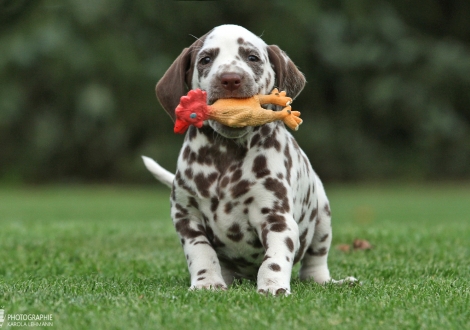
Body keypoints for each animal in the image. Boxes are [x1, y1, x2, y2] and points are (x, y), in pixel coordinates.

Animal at [143, 24, 356, 296]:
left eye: (252, 57)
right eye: (206, 59)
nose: (230, 79)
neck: (225, 155)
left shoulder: (276, 218)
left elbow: (275, 258)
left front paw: (273, 286)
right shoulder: (186, 216)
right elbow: (201, 252)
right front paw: (206, 283)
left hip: (322, 216)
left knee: (314, 262)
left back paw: (329, 281)